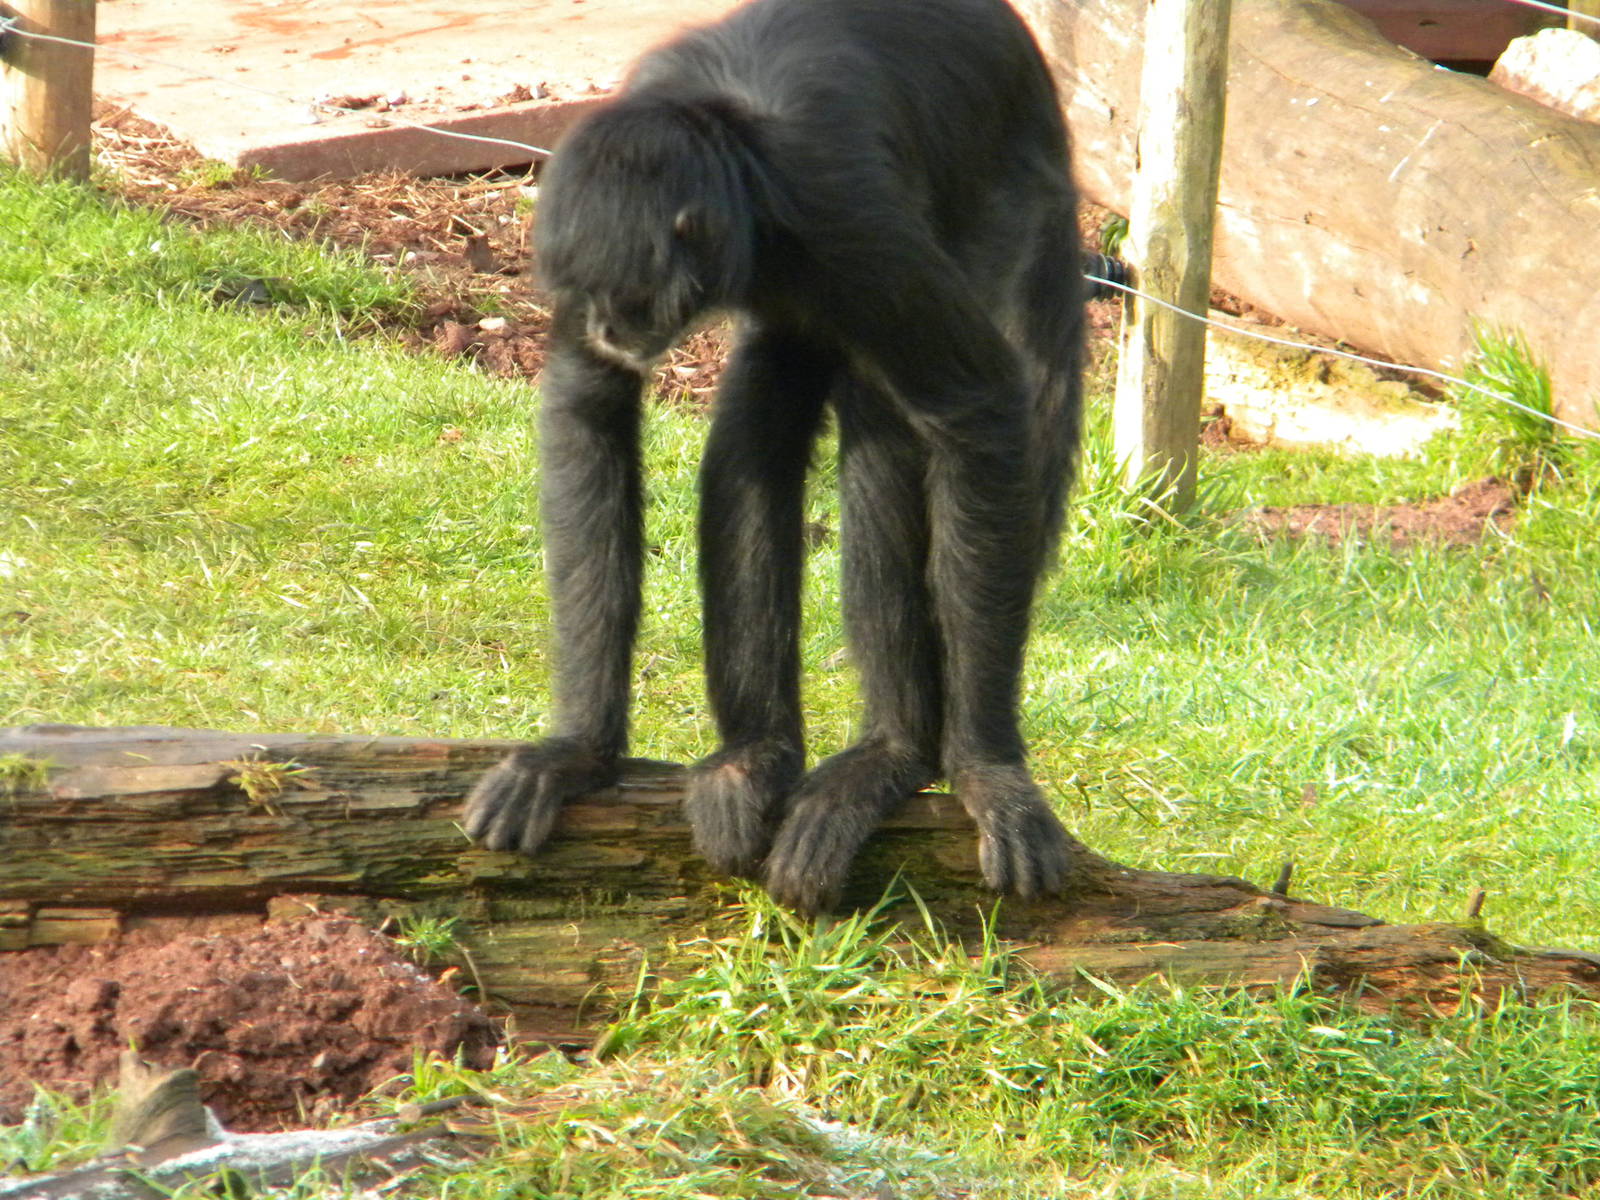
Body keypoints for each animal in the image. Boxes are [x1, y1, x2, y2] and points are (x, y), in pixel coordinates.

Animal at [464, 0, 1091, 914]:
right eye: (587, 300)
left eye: (627, 300)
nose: (609, 329)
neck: (737, 134)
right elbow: (587, 409)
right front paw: (576, 750)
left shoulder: (846, 215)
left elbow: (981, 407)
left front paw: (989, 770)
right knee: (756, 425)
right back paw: (754, 761)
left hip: (1001, 217)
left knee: (887, 426)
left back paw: (893, 754)